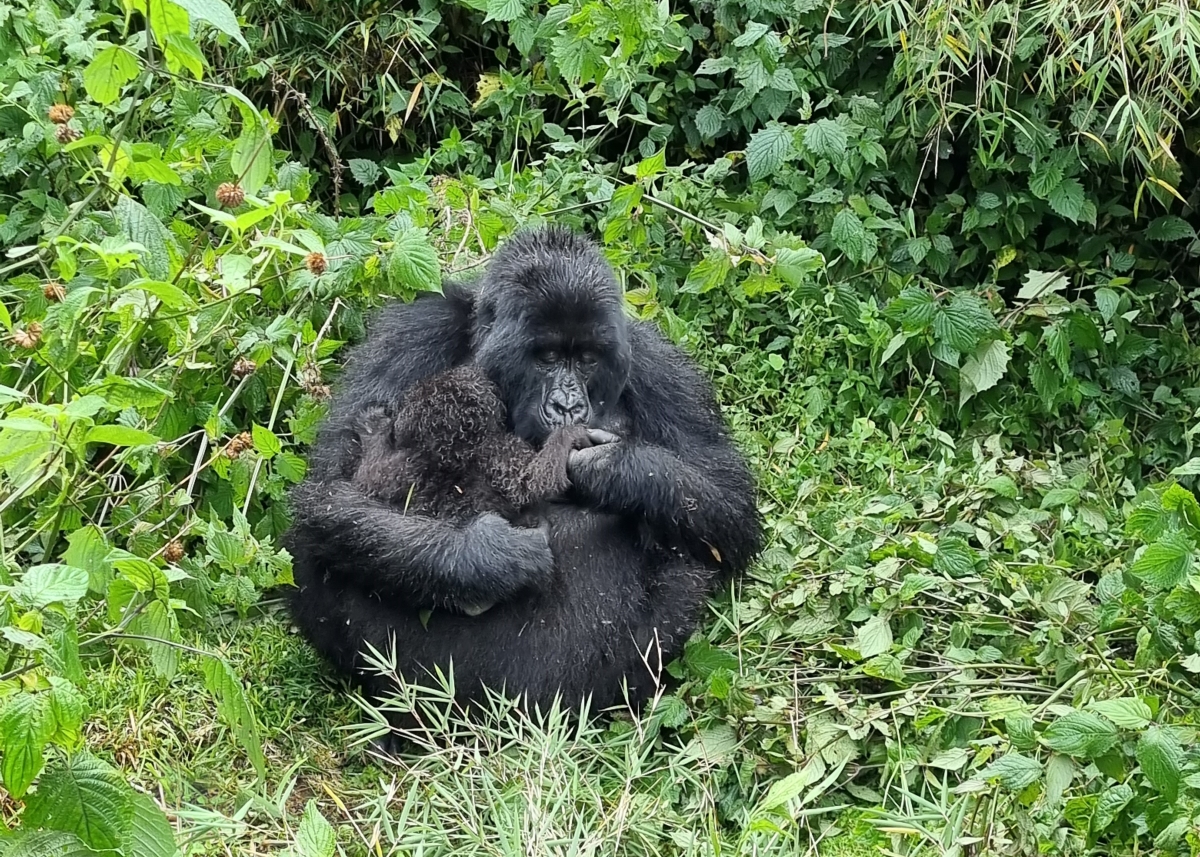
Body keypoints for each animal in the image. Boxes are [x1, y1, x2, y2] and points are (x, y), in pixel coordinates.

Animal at [350, 362, 592, 614]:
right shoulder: (500, 448)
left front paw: (372, 430)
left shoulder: (410, 463)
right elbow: (537, 479)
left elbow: (371, 477)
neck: (453, 449)